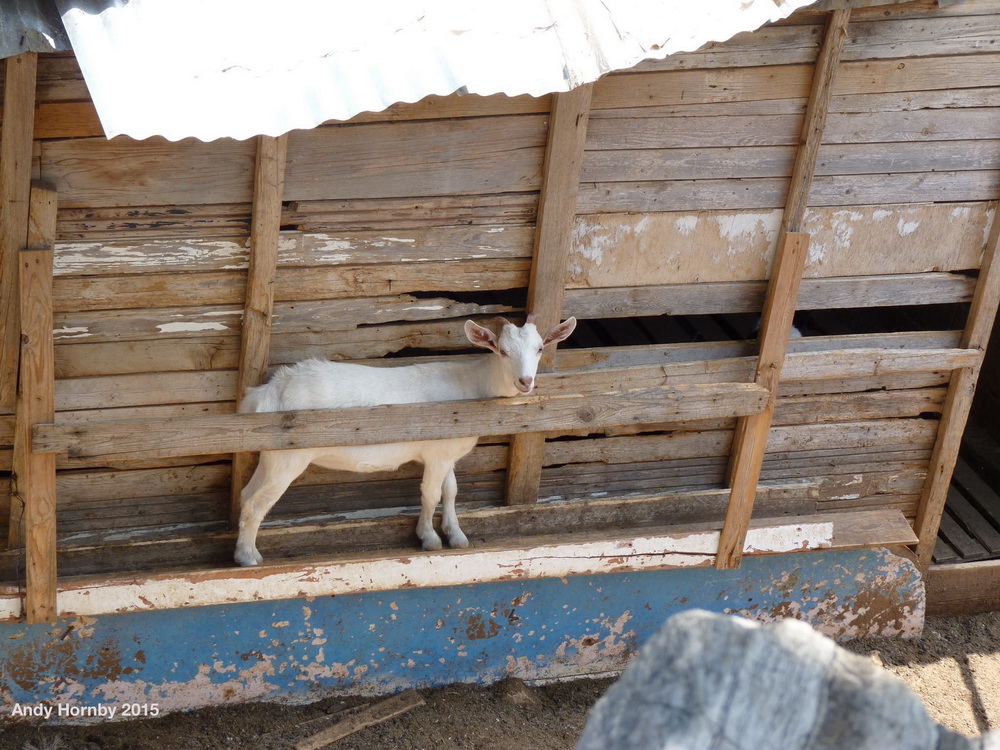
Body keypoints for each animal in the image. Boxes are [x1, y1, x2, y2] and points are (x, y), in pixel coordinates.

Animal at [234, 315, 577, 566]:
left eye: (539, 349)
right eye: (502, 351)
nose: (525, 382)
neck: (470, 384)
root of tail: (265, 393)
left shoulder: (446, 452)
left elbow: (451, 491)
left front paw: (456, 536)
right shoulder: (436, 455)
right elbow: (431, 494)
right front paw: (429, 539)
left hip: (270, 457)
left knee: (247, 493)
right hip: (288, 456)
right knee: (257, 501)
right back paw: (248, 557)